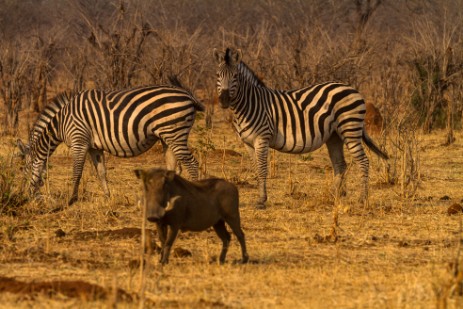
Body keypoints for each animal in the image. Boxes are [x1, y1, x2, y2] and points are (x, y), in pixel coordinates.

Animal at [18, 77, 204, 205]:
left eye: (25, 169)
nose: (28, 196)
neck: (61, 122)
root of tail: (188, 95)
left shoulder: (79, 141)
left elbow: (76, 171)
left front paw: (72, 199)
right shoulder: (94, 147)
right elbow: (101, 172)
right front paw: (107, 197)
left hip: (175, 132)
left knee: (192, 164)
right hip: (168, 136)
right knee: (174, 167)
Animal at [214, 47, 388, 207]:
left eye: (235, 76)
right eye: (217, 76)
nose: (223, 100)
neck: (249, 104)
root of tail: (352, 89)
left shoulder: (262, 139)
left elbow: (262, 169)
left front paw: (262, 201)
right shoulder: (248, 143)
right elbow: (256, 170)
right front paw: (260, 197)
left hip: (350, 129)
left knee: (363, 161)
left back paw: (362, 199)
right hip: (334, 136)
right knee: (340, 164)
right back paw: (334, 196)